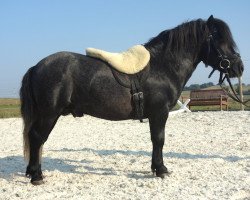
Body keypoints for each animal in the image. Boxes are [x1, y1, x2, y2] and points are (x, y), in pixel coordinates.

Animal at [20, 15, 243, 184]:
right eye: (220, 40)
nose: (239, 68)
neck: (162, 66)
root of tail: (37, 66)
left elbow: (156, 140)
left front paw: (156, 168)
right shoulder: (160, 113)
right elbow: (159, 139)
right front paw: (161, 169)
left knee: (33, 137)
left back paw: (32, 172)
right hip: (49, 114)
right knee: (37, 138)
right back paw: (37, 176)